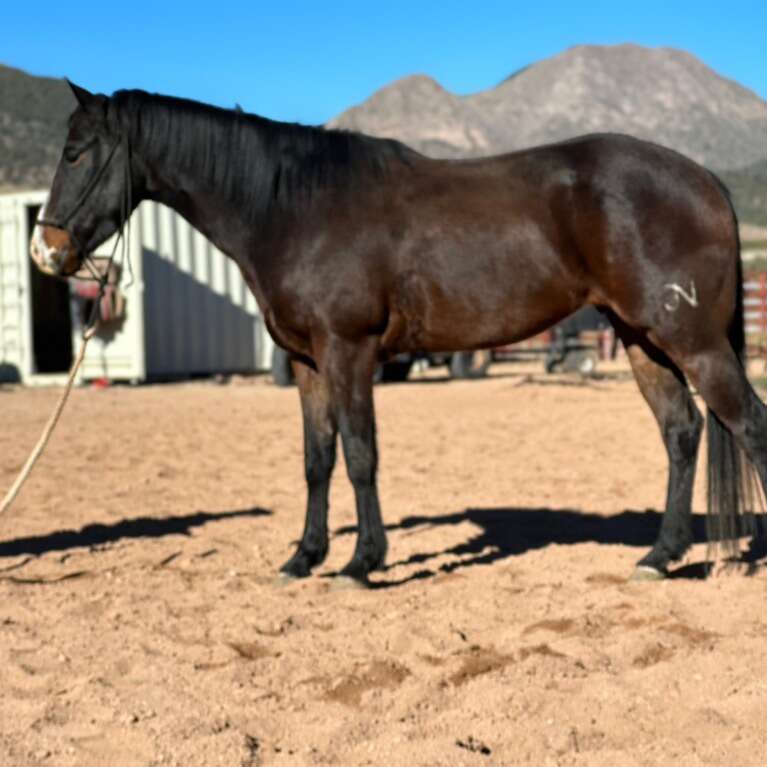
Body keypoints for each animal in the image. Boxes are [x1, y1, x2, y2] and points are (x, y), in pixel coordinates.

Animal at [31, 81, 766, 586]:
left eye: (76, 153)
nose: (45, 251)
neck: (293, 207)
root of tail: (703, 178)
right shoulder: (307, 363)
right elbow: (317, 458)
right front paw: (303, 557)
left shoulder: (348, 352)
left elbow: (360, 453)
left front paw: (362, 562)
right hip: (641, 338)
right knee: (682, 433)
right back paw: (659, 556)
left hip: (693, 342)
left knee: (748, 426)